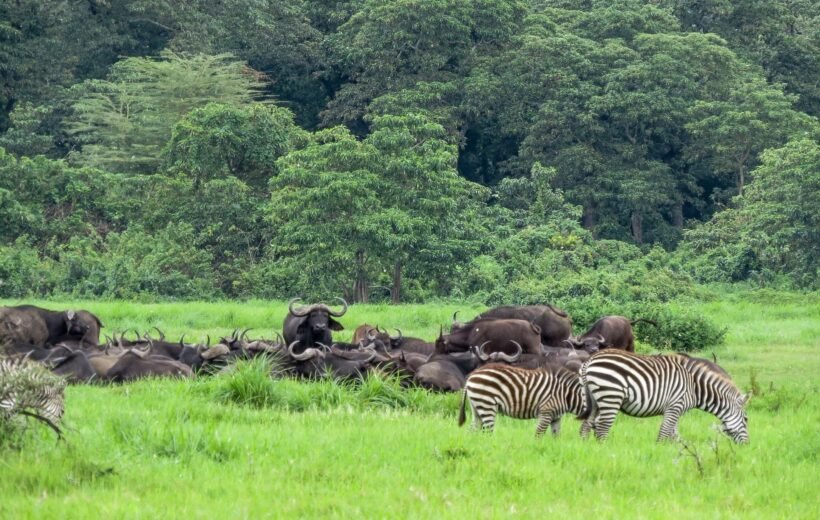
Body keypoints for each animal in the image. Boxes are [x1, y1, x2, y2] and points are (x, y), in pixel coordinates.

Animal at [458, 364, 588, 436]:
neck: (565, 395)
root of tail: (471, 376)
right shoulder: (546, 412)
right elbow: (538, 435)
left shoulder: (556, 417)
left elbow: (556, 436)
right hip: (487, 405)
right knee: (487, 433)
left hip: (477, 407)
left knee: (472, 431)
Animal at [576, 350, 748, 442]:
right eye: (746, 420)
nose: (747, 447)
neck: (695, 386)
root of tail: (589, 361)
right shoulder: (674, 406)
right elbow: (664, 433)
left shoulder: (677, 410)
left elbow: (675, 435)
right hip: (611, 396)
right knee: (602, 428)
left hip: (596, 400)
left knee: (586, 425)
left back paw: (589, 450)